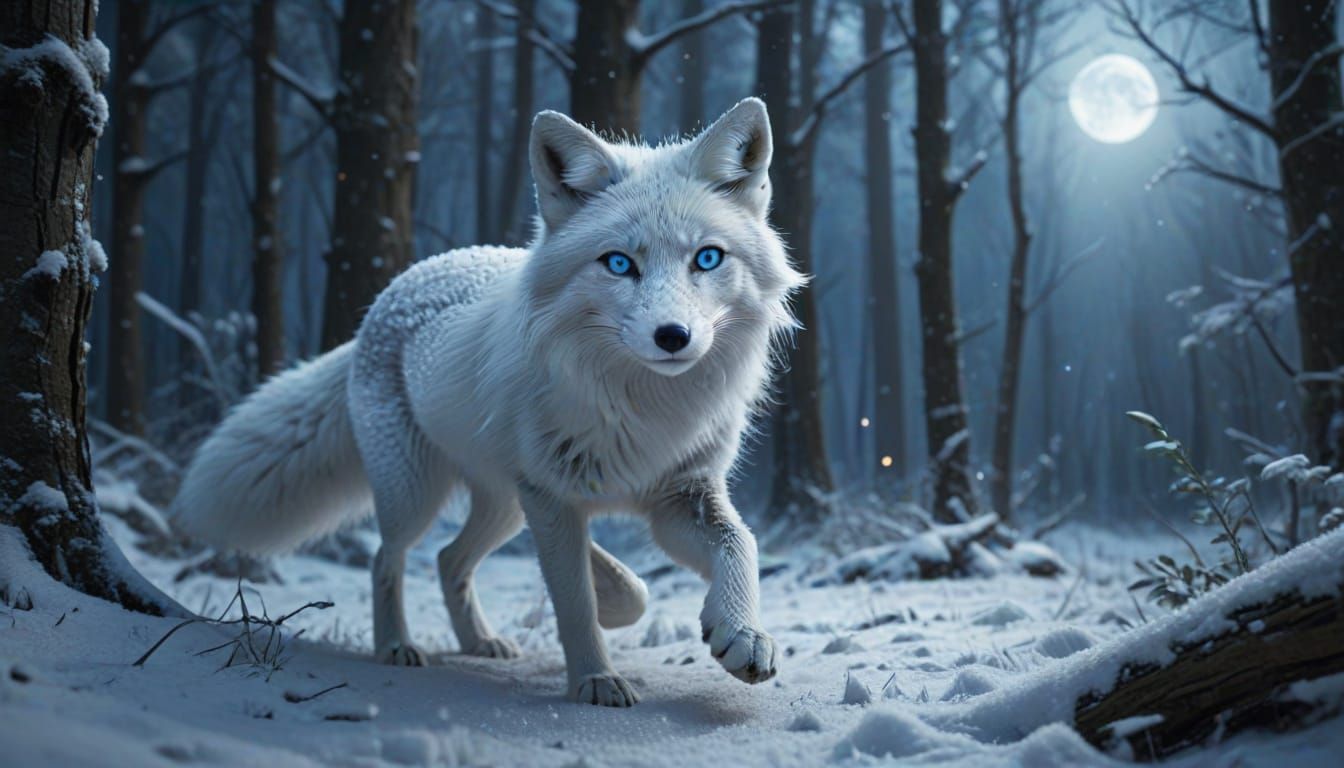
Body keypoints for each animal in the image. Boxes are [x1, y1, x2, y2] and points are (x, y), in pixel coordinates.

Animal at [172, 98, 803, 707]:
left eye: (707, 258)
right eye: (620, 263)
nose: (673, 337)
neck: (643, 406)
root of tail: (390, 296)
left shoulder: (681, 495)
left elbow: (735, 546)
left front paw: (741, 635)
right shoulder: (547, 493)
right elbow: (581, 598)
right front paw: (596, 679)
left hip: (496, 505)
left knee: (449, 559)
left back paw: (480, 642)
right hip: (416, 494)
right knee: (388, 559)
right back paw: (396, 646)